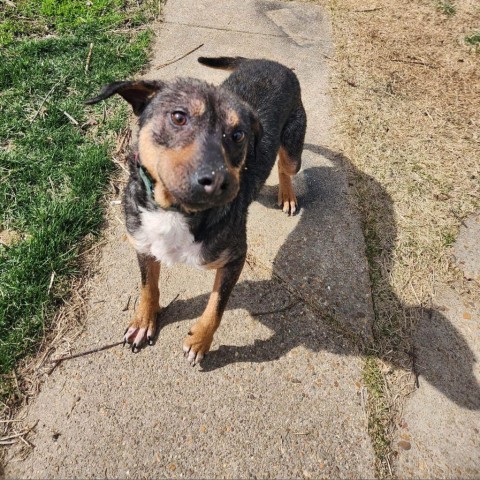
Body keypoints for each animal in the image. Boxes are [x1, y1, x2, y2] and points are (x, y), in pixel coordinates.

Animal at [86, 56, 308, 364]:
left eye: (238, 135)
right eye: (179, 117)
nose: (218, 181)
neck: (174, 211)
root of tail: (270, 61)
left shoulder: (234, 258)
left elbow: (216, 306)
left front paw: (200, 341)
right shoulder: (142, 243)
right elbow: (147, 286)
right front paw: (144, 320)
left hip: (293, 150)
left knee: (286, 167)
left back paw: (287, 194)